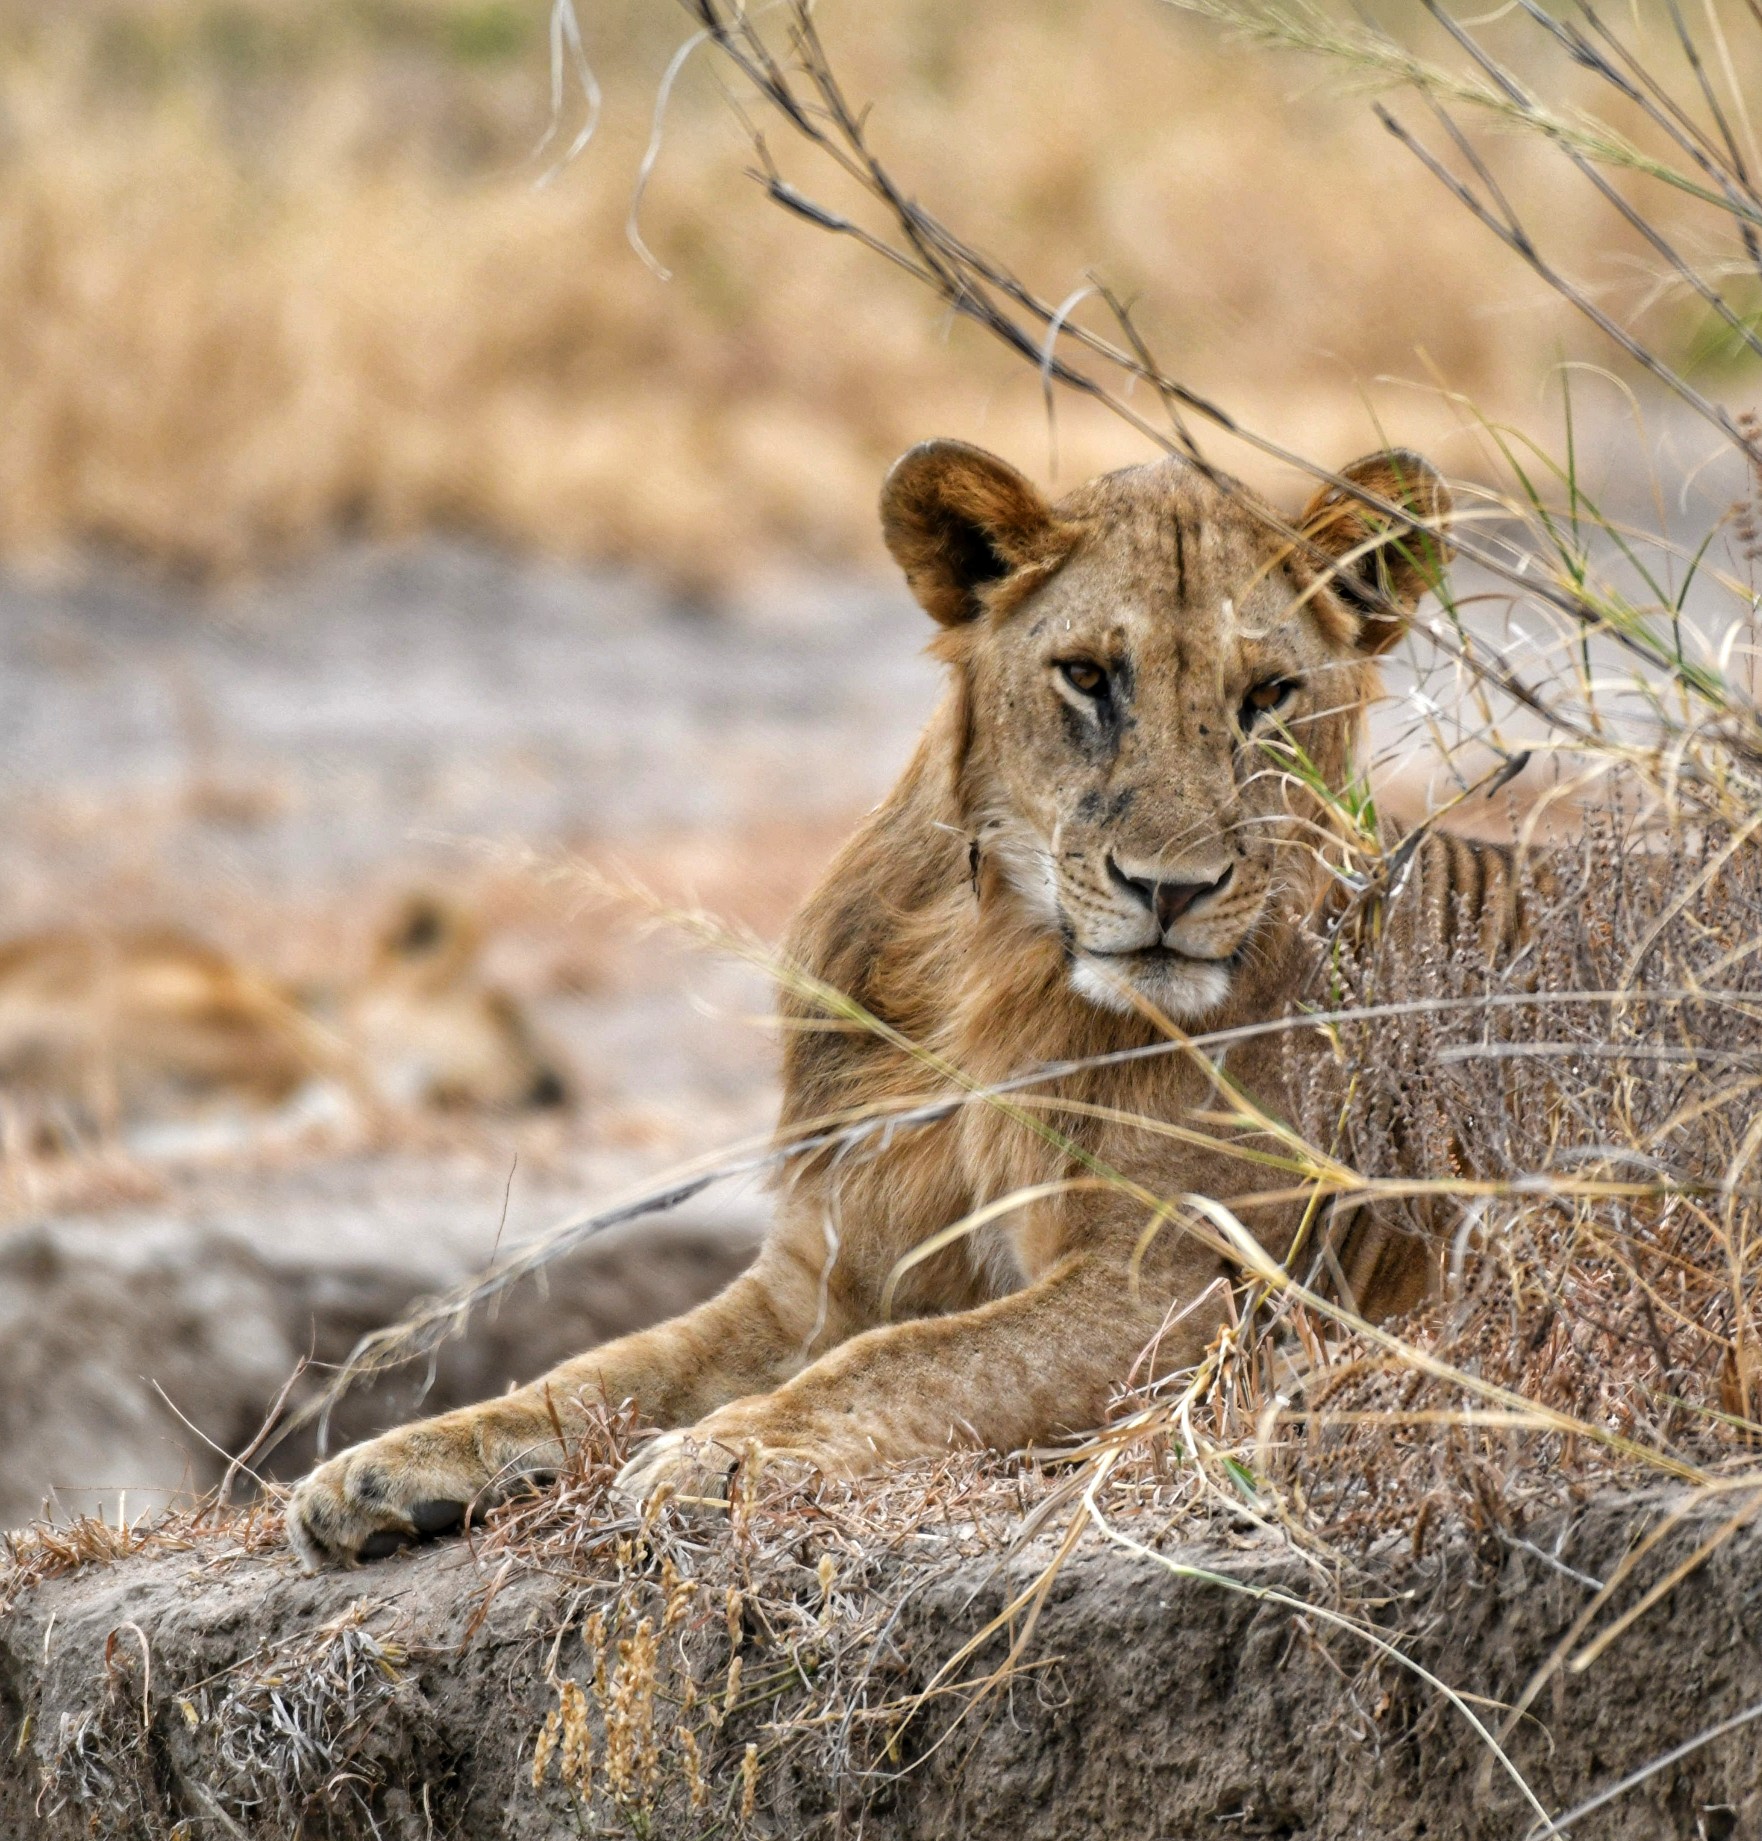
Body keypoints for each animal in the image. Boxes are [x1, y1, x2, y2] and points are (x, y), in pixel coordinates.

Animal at [285, 441, 1502, 1568]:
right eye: (1087, 675)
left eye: (1268, 697)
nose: (1172, 889)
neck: (997, 964)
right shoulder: (824, 1270)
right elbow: (602, 1367)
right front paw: (386, 1464)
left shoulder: (1187, 1289)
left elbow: (911, 1359)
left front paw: (725, 1451)